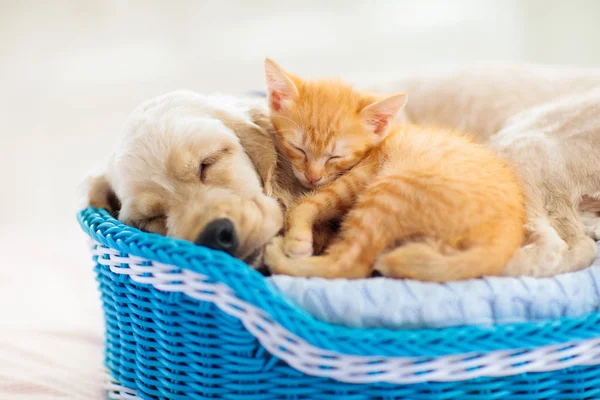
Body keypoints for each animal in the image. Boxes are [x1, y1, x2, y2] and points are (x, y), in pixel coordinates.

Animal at [262, 59, 524, 282]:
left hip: (389, 192)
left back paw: (278, 258)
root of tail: (506, 235)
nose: (312, 177)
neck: (383, 138)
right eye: (298, 148)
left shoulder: (358, 176)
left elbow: (308, 202)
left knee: (350, 264)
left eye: (335, 156)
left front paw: (297, 238)